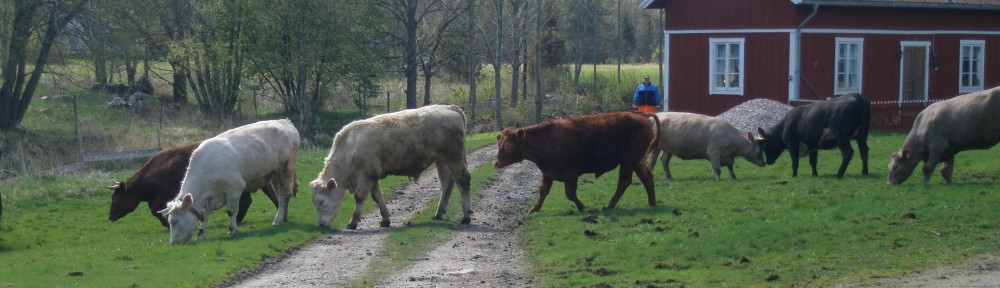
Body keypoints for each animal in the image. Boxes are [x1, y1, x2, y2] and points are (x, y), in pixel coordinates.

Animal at [107, 142, 280, 227]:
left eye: (115, 200)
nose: (110, 217)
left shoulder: (166, 194)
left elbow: (155, 210)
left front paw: (167, 223)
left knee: (246, 200)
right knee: (270, 193)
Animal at [158, 118, 298, 243]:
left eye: (175, 221)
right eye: (170, 221)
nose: (173, 242)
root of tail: (284, 121)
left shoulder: (234, 188)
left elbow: (231, 211)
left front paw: (232, 230)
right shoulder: (208, 198)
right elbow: (204, 216)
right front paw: (200, 235)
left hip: (286, 168)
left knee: (284, 195)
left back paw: (277, 220)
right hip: (274, 174)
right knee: (280, 195)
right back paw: (283, 218)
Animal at [310, 105, 470, 230]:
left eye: (321, 201)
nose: (321, 225)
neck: (350, 147)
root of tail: (449, 107)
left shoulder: (367, 175)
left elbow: (360, 197)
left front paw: (353, 222)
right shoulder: (373, 176)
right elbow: (377, 196)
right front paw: (385, 219)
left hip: (454, 158)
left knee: (463, 181)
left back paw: (466, 217)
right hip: (441, 160)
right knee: (446, 184)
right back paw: (438, 213)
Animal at [494, 111, 664, 213]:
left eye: (507, 145)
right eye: (499, 143)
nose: (495, 163)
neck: (545, 139)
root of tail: (642, 116)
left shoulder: (571, 173)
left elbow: (570, 193)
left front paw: (582, 206)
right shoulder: (547, 173)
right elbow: (543, 191)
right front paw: (534, 209)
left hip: (629, 161)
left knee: (624, 182)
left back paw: (609, 205)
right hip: (636, 161)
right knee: (647, 178)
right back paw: (652, 203)